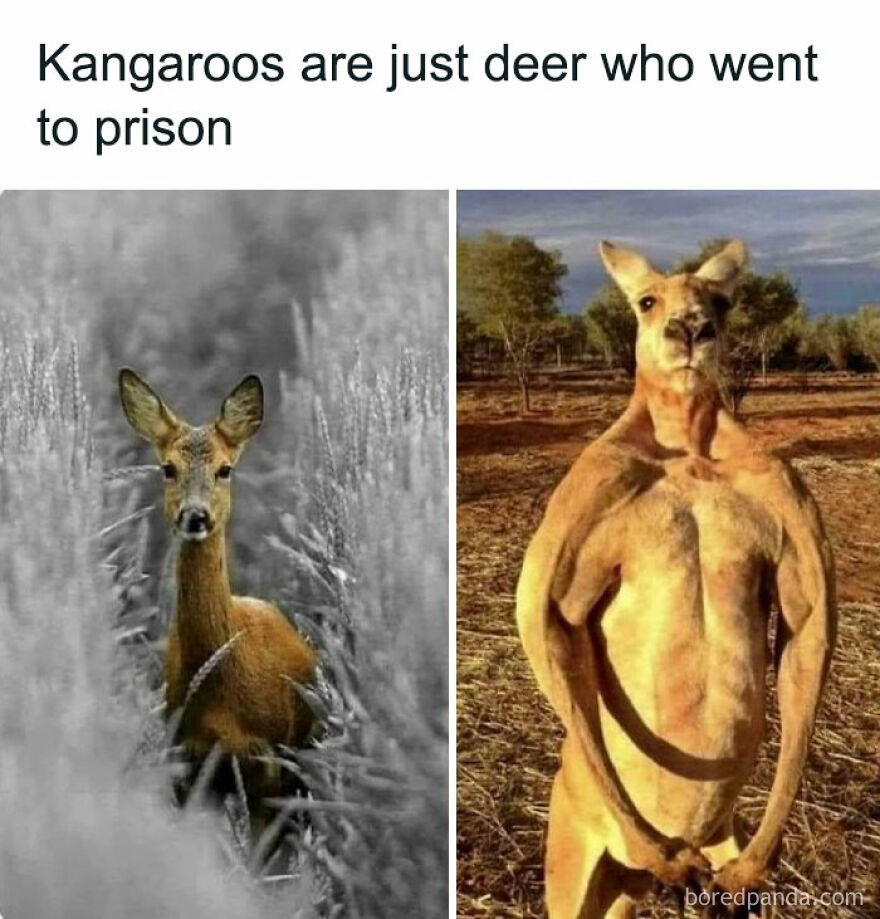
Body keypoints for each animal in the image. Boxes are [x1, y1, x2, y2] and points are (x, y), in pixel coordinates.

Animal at [516, 240, 835, 918]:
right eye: (646, 300)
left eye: (722, 301)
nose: (690, 329)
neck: (689, 444)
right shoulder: (591, 487)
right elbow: (546, 617)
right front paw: (659, 847)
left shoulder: (785, 492)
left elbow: (807, 627)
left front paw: (756, 864)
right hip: (574, 856)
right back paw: (662, 852)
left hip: (659, 873)